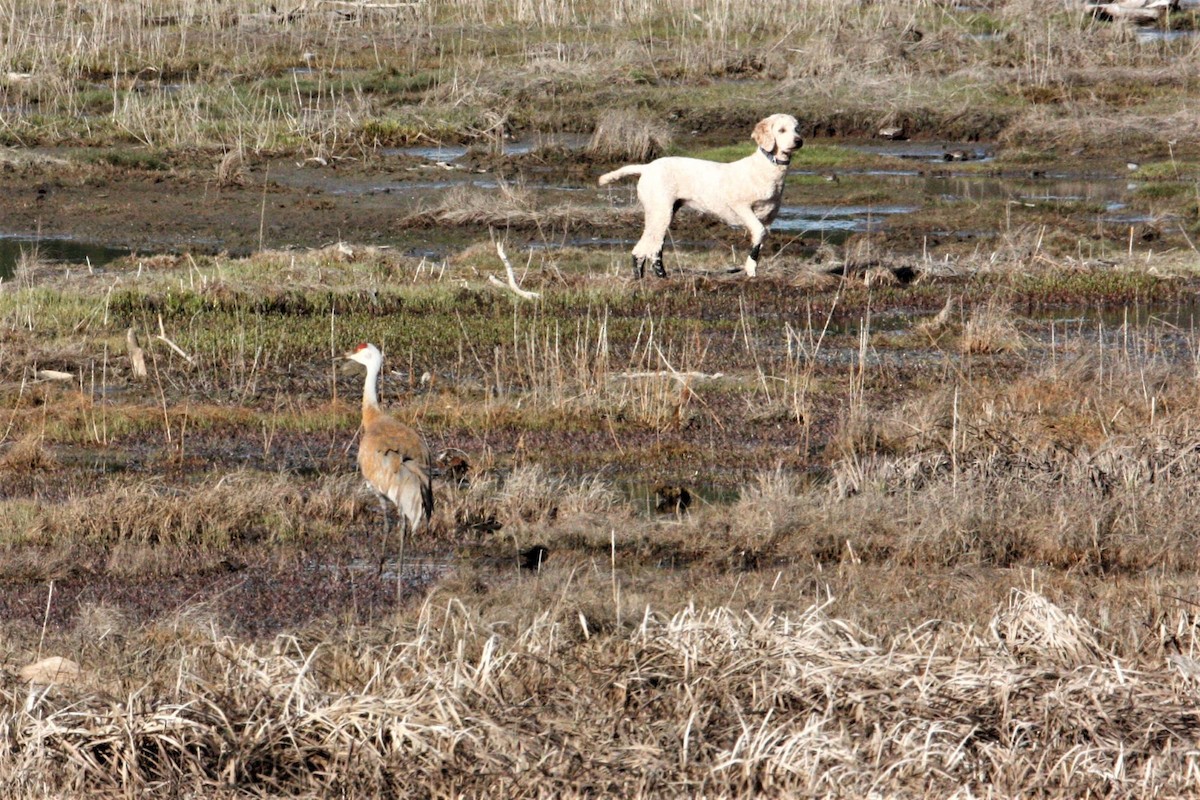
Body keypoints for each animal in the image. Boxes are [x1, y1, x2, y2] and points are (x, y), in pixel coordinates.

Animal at [597, 113, 801, 278]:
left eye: (797, 128)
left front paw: (753, 268)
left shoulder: (768, 218)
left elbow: (760, 240)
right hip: (661, 211)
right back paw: (660, 277)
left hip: (664, 212)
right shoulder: (741, 207)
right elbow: (758, 232)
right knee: (649, 249)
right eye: (781, 130)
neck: (766, 169)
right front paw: (749, 268)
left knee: (645, 249)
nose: (799, 141)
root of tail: (646, 167)